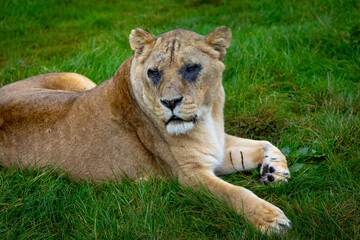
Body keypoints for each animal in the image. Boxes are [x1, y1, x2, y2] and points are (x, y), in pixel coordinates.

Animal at [0, 26, 292, 232]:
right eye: (154, 72)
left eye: (191, 68)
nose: (170, 102)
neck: (207, 116)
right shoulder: (187, 175)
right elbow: (235, 194)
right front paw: (271, 219)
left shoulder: (216, 146)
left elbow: (264, 143)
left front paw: (274, 170)